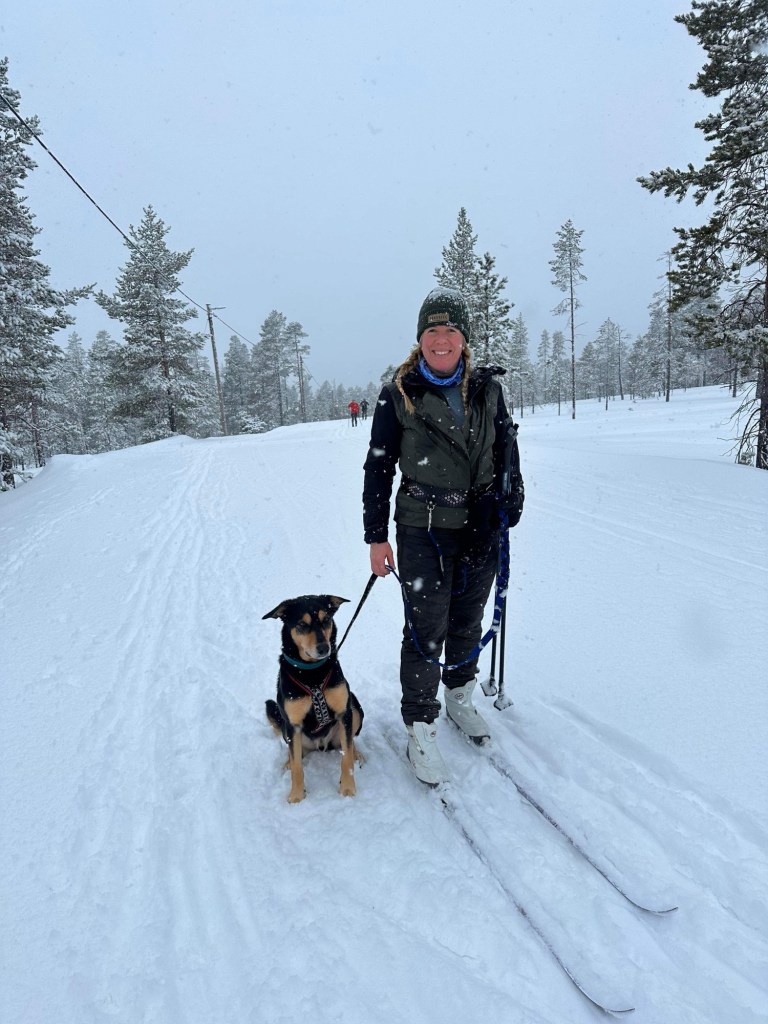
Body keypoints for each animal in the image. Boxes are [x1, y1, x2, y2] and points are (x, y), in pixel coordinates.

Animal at [263, 594, 364, 803]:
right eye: (302, 624)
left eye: (326, 620)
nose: (324, 648)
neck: (312, 673)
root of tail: (321, 746)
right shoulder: (293, 724)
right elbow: (297, 768)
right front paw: (296, 796)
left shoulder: (344, 712)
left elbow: (346, 758)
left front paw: (348, 789)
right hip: (287, 727)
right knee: (294, 753)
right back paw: (287, 762)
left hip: (355, 707)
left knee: (350, 741)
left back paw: (357, 753)